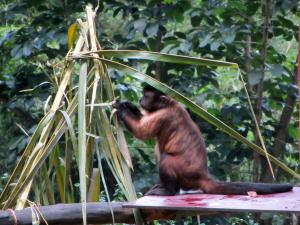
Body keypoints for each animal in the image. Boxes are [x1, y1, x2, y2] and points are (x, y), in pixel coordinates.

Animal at [113, 85, 292, 196]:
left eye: (146, 96)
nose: (141, 100)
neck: (169, 104)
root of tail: (203, 175)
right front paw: (128, 105)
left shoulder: (164, 115)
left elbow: (142, 132)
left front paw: (121, 108)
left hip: (186, 174)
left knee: (166, 158)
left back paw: (169, 190)